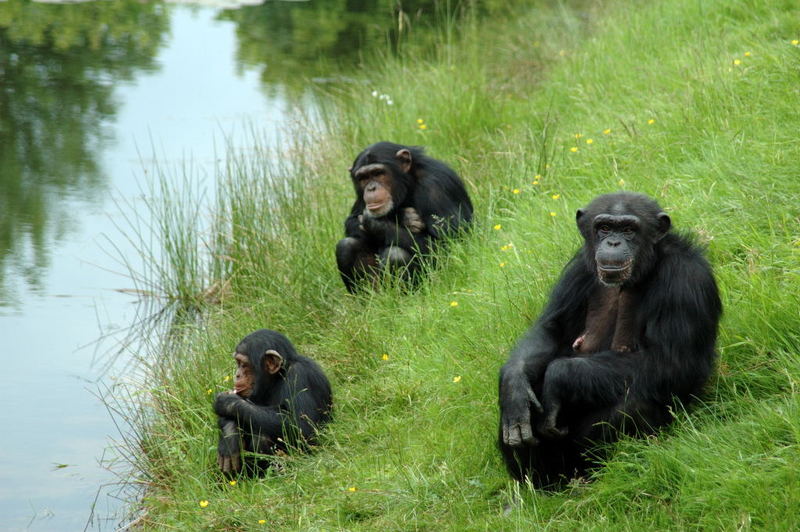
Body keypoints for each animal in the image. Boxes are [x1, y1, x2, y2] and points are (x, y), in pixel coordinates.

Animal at [212, 328, 332, 474]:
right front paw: (229, 436)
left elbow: (304, 427)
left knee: (262, 435)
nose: (237, 374)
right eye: (237, 362)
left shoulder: (299, 376)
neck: (277, 378)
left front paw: (228, 403)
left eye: (243, 364)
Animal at [334, 140, 472, 290]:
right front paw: (402, 217)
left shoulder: (436, 187)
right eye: (363, 178)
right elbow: (352, 220)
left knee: (395, 254)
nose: (371, 188)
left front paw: (378, 224)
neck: (408, 182)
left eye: (378, 173)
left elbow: (450, 245)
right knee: (347, 246)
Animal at [496, 193, 720, 488]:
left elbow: (672, 361)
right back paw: (539, 485)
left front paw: (559, 376)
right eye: (604, 227)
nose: (613, 242)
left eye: (628, 229)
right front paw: (514, 386)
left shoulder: (685, 278)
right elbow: (551, 329)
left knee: (633, 405)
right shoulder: (577, 270)